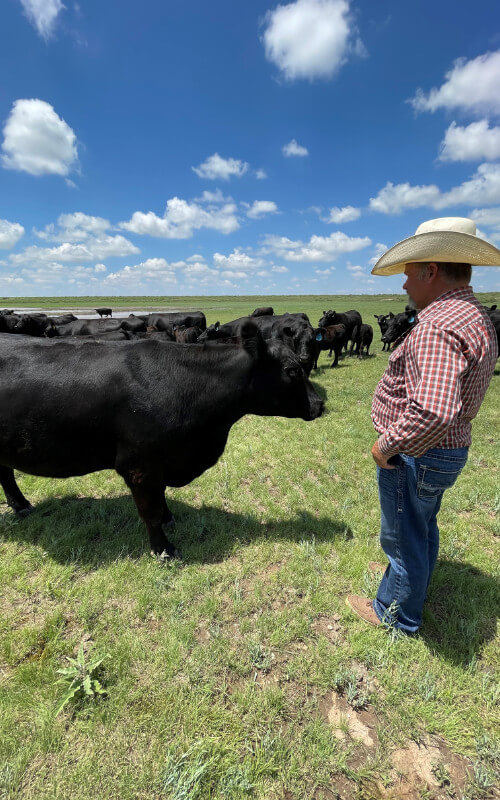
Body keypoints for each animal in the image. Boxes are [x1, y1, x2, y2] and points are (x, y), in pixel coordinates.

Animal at [0, 322, 324, 560]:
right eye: (292, 371)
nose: (320, 404)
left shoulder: (163, 462)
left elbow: (161, 498)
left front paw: (170, 517)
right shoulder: (140, 466)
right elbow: (150, 511)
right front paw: (164, 550)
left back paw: (22, 506)